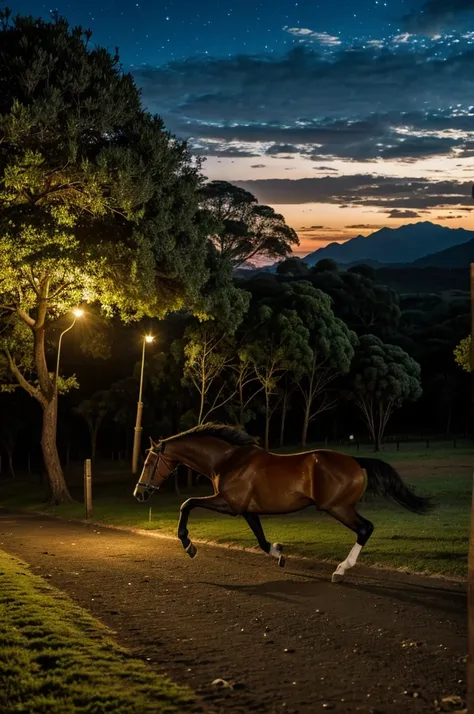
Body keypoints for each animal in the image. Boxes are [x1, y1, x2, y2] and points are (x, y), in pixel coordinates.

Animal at [132, 422, 434, 580]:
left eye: (148, 463)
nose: (139, 493)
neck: (227, 460)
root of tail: (355, 460)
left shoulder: (229, 504)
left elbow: (187, 504)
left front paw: (189, 545)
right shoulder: (247, 510)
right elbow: (261, 538)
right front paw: (279, 554)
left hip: (338, 507)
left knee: (365, 528)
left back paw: (340, 569)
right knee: (365, 529)